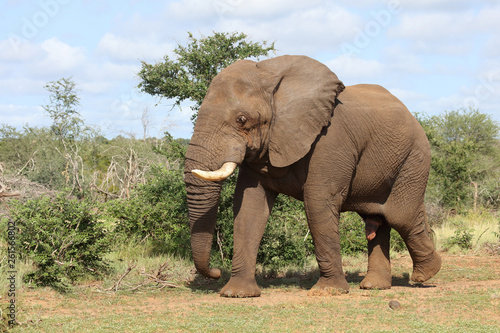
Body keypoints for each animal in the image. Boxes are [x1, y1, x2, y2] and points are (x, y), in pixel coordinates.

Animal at [185, 55, 442, 296]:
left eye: (241, 120)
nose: (216, 272)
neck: (272, 76)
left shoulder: (330, 140)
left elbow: (318, 201)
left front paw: (329, 291)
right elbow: (249, 207)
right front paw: (237, 294)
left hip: (414, 158)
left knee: (400, 215)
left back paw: (426, 274)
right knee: (378, 219)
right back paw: (374, 286)